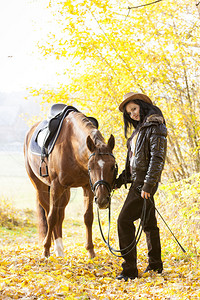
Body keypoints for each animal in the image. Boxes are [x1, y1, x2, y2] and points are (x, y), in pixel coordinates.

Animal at [23, 110, 115, 258]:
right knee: (49, 213)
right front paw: (46, 250)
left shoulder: (88, 187)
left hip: (65, 192)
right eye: (91, 167)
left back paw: (59, 248)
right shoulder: (56, 186)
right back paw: (54, 247)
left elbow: (88, 217)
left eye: (112, 166)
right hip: (41, 188)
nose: (102, 200)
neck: (72, 145)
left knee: (60, 215)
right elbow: (51, 217)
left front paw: (90, 251)